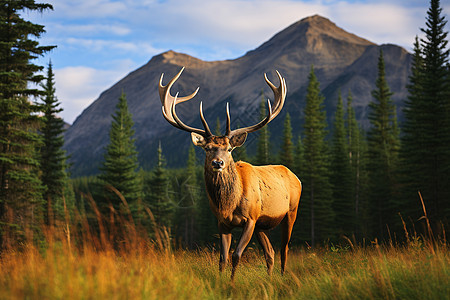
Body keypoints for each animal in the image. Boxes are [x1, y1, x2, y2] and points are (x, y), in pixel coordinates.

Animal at [158, 67, 302, 278]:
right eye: (207, 148)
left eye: (229, 149)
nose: (218, 163)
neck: (229, 203)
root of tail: (296, 176)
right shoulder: (223, 222)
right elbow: (222, 258)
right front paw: (221, 280)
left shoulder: (251, 218)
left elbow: (236, 255)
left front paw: (232, 283)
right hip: (262, 225)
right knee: (270, 252)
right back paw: (269, 279)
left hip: (291, 211)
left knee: (284, 249)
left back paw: (282, 278)